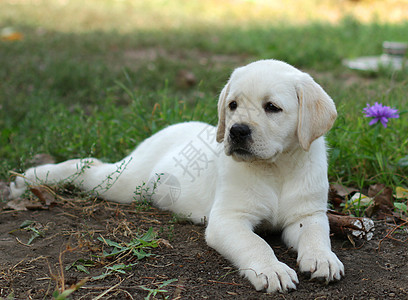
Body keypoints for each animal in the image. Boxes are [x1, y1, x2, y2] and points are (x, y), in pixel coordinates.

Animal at [7, 59, 342, 292]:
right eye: (232, 105)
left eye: (272, 107)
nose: (236, 131)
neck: (276, 168)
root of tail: (167, 129)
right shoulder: (228, 219)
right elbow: (255, 243)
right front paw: (271, 270)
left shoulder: (307, 213)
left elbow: (316, 233)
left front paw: (322, 259)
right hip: (123, 182)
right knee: (88, 166)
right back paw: (31, 177)